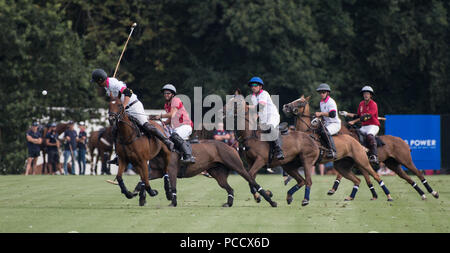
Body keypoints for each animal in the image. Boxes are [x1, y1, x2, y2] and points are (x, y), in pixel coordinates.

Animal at [284, 95, 438, 200]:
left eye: (300, 102)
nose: (285, 106)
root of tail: (403, 141)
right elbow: (365, 178)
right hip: (392, 164)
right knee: (408, 178)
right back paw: (422, 194)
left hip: (405, 160)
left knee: (418, 173)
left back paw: (433, 192)